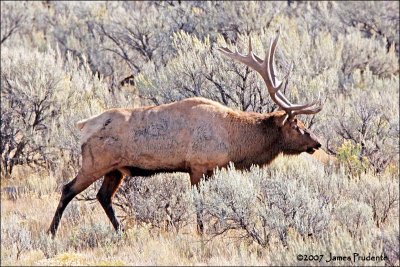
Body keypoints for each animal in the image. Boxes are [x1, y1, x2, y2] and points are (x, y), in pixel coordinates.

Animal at [48, 29, 322, 238]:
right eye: (296, 124)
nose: (317, 143)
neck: (234, 142)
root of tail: (83, 125)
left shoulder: (209, 169)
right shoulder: (198, 165)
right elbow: (198, 203)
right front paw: (201, 233)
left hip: (115, 170)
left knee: (103, 197)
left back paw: (121, 231)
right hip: (95, 163)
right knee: (68, 189)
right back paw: (51, 232)